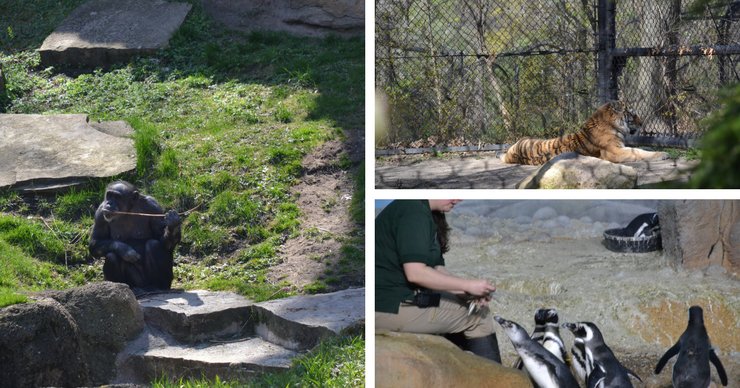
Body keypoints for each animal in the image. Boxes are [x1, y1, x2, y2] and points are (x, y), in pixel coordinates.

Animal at [502, 101, 672, 164]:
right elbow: (638, 152)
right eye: (633, 115)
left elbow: (641, 148)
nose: (642, 123)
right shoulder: (614, 151)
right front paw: (662, 154)